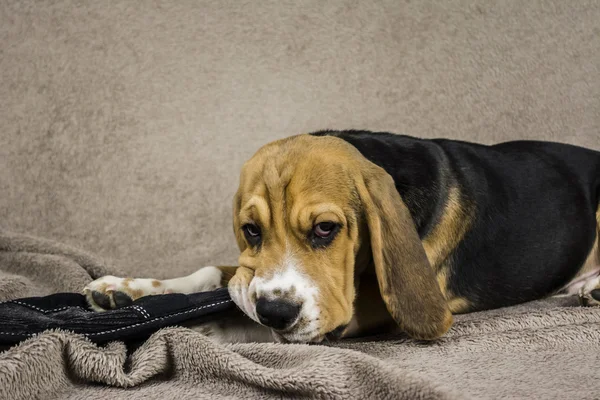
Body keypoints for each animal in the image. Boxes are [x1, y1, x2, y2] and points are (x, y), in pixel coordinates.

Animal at [84, 130, 600, 344]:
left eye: (325, 229)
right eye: (251, 230)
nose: (275, 311)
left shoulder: (360, 311)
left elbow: (254, 320)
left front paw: (200, 327)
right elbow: (216, 272)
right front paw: (125, 289)